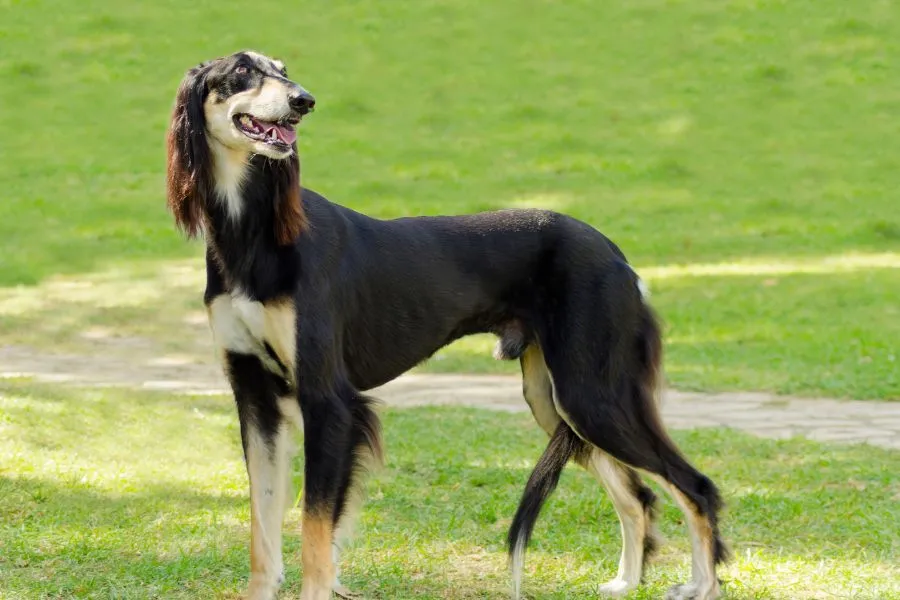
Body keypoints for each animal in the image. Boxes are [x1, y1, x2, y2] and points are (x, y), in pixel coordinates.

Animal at [167, 51, 732, 600]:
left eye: (285, 72)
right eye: (243, 71)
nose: (303, 101)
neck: (253, 233)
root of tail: (616, 254)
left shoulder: (328, 400)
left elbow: (315, 530)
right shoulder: (255, 396)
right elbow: (262, 526)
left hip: (591, 394)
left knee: (696, 486)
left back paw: (702, 585)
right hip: (557, 401)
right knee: (639, 496)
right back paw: (626, 582)